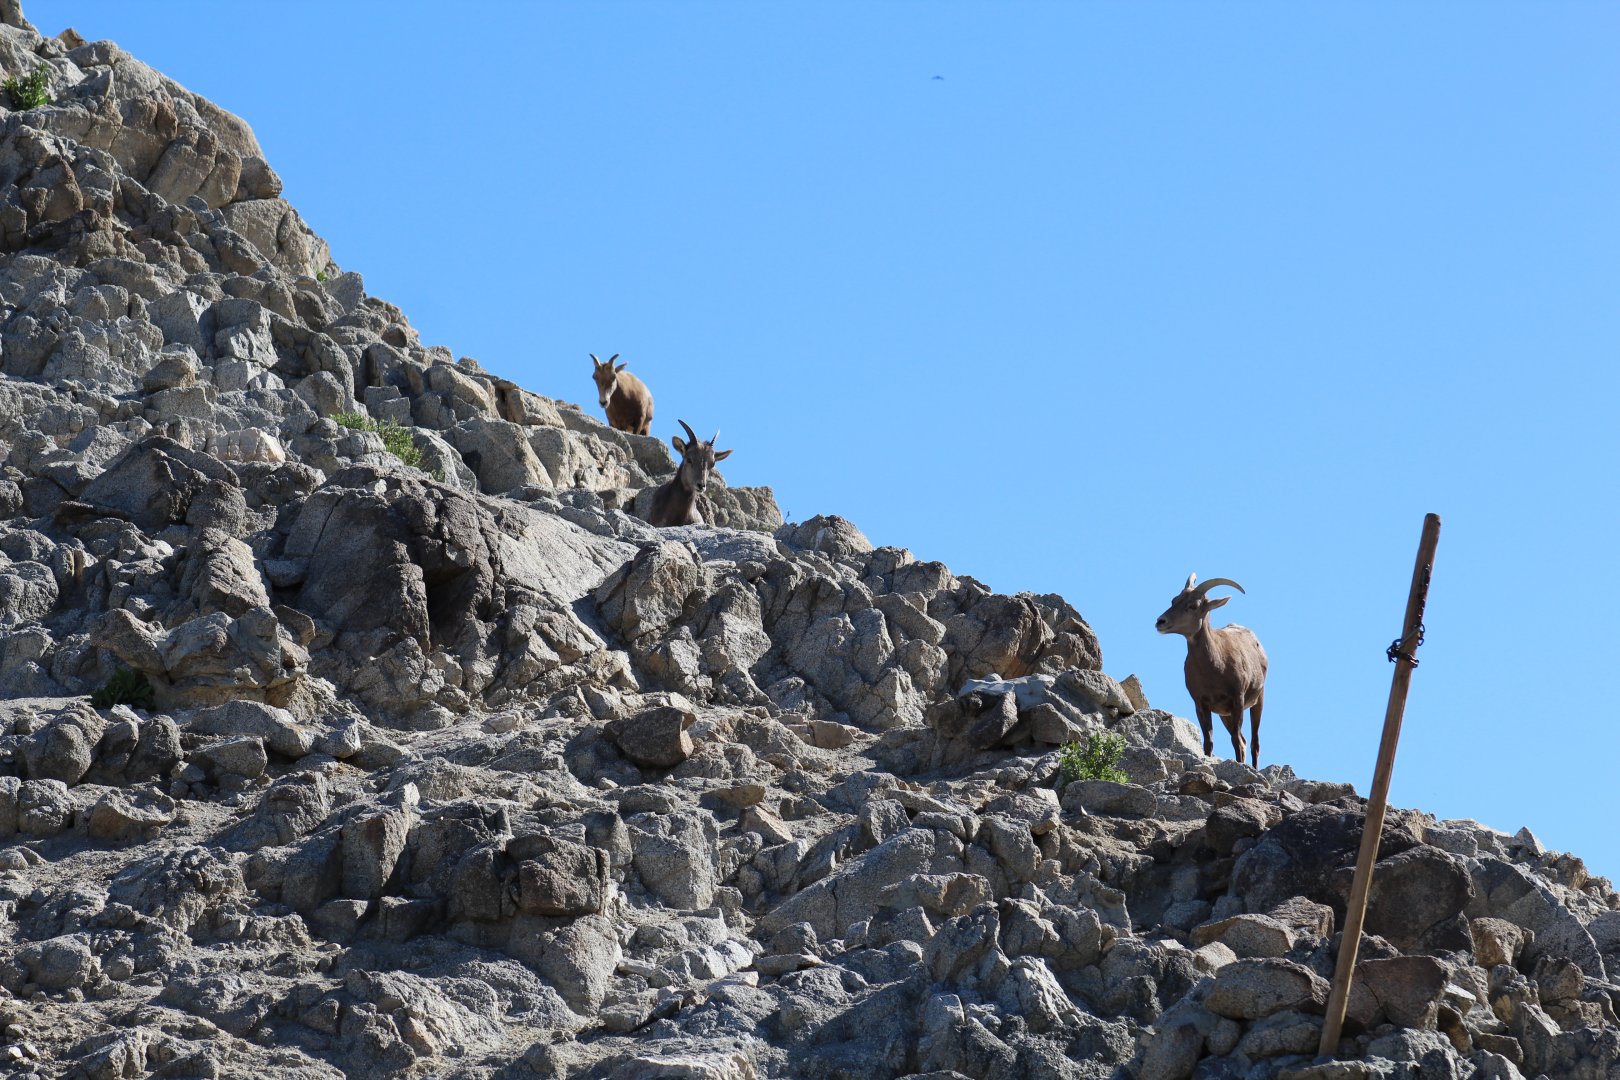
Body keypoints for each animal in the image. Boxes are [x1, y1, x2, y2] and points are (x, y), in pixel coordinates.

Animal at [1155, 573, 1268, 767]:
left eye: (1193, 606)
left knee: (1254, 743)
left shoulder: (1237, 700)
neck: (1215, 668)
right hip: (1225, 715)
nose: (1160, 622)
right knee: (1245, 740)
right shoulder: (1201, 704)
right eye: (1174, 600)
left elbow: (1236, 741)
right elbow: (1208, 741)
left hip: (1258, 701)